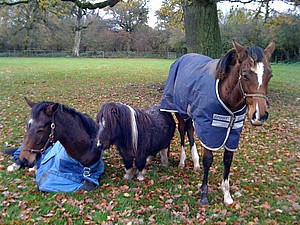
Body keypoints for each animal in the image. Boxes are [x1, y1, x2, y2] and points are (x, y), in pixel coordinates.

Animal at [161, 40, 276, 206]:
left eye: (270, 75)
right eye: (245, 75)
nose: (259, 115)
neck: (227, 96)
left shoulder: (233, 133)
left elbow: (227, 160)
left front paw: (227, 196)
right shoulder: (209, 129)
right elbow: (208, 160)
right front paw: (204, 195)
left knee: (190, 131)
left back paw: (195, 163)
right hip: (180, 112)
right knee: (183, 131)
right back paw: (182, 162)